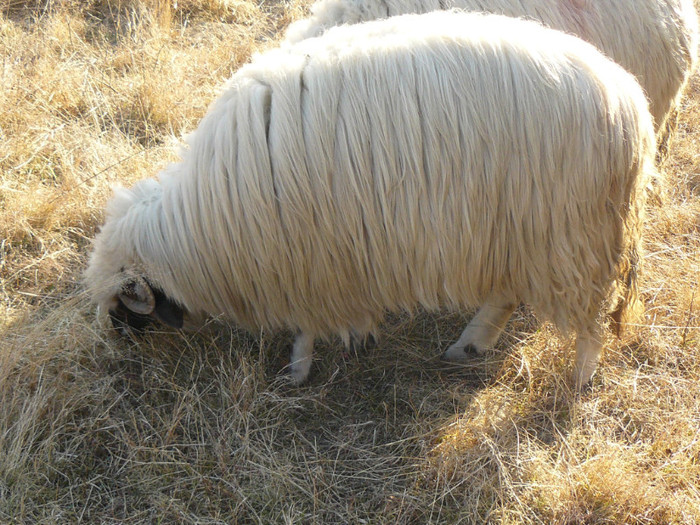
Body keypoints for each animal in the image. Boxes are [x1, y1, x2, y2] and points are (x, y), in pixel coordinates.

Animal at [86, 12, 656, 386]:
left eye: (124, 307)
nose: (118, 358)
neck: (200, 224)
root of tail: (632, 103)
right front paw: (357, 337)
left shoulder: (308, 260)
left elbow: (307, 325)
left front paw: (299, 368)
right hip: (517, 228)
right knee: (507, 293)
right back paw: (470, 344)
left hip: (572, 236)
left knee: (590, 320)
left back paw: (579, 379)